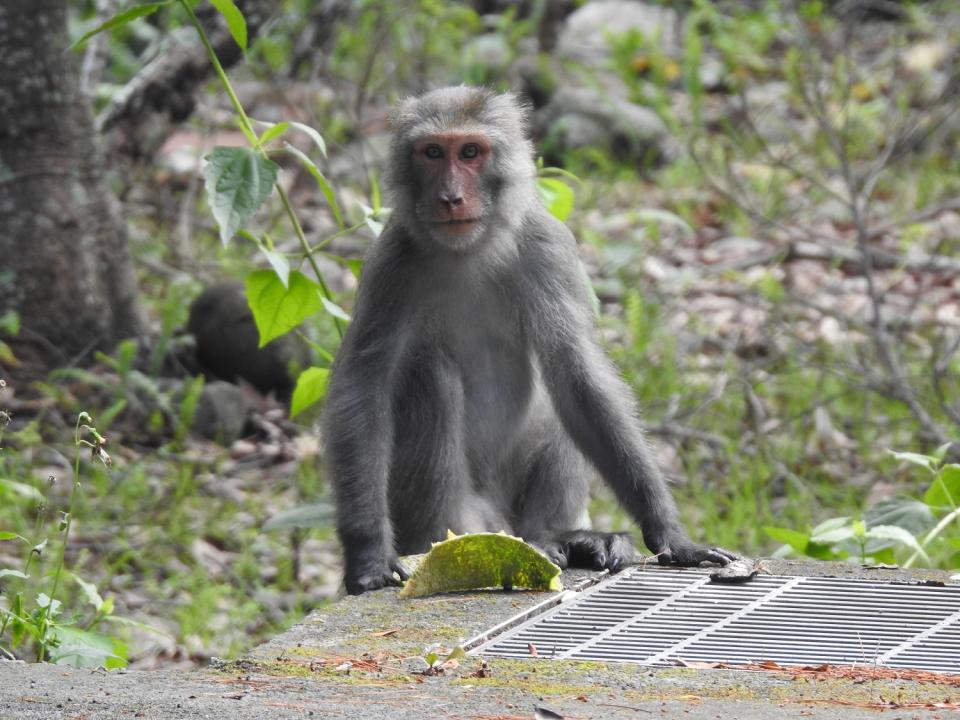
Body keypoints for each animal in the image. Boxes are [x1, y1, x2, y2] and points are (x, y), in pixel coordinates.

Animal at [322, 86, 736, 596]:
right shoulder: (390, 264)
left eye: (471, 152)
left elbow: (577, 375)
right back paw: (455, 540)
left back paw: (559, 537)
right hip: (446, 510)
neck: (471, 252)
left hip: (519, 511)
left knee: (562, 398)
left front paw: (670, 534)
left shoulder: (547, 246)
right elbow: (365, 387)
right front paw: (367, 554)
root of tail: (504, 525)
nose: (451, 197)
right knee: (431, 374)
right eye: (433, 152)